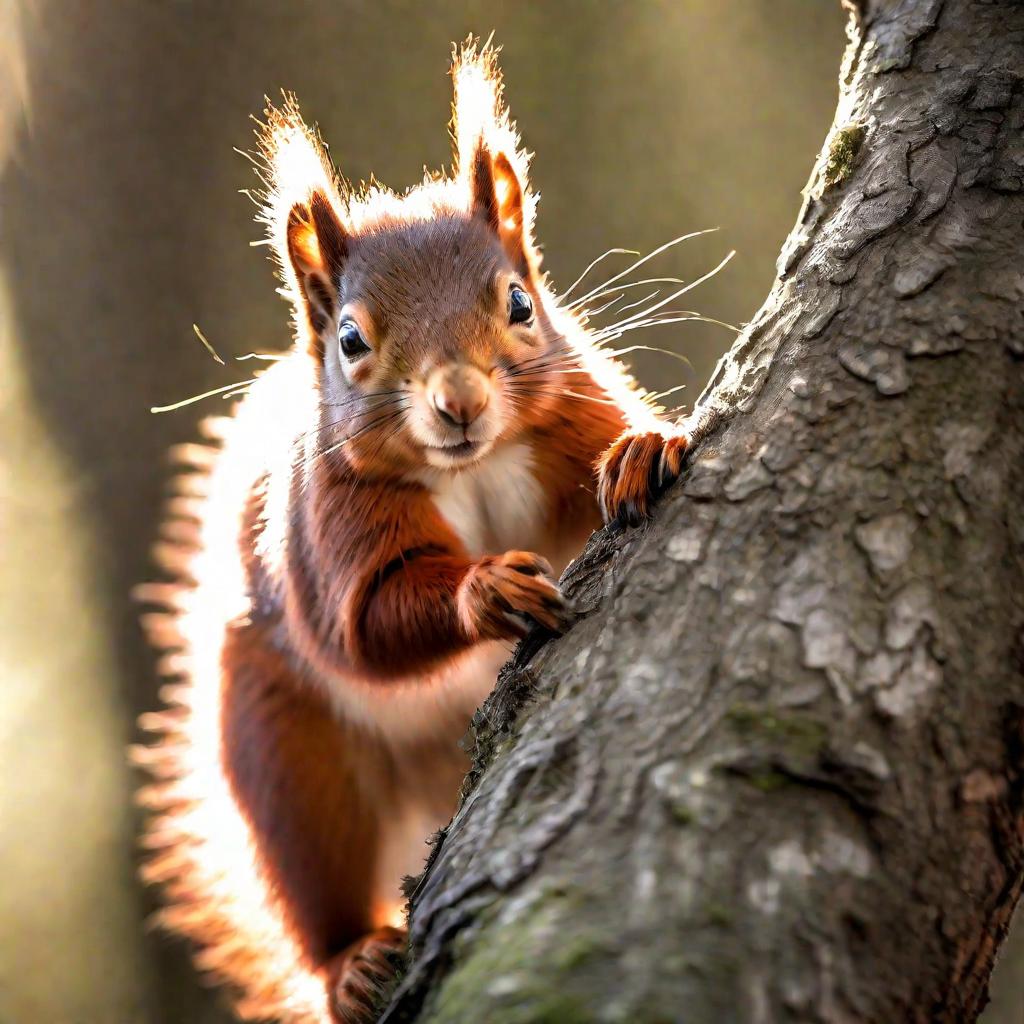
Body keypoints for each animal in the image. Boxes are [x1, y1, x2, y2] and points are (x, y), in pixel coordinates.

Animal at [134, 41, 688, 1024]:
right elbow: (364, 625)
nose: (458, 401)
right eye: (352, 340)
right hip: (289, 760)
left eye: (520, 303)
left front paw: (643, 448)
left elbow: (606, 457)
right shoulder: (327, 527)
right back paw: (351, 963)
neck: (471, 469)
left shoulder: (569, 419)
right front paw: (487, 589)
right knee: (311, 888)